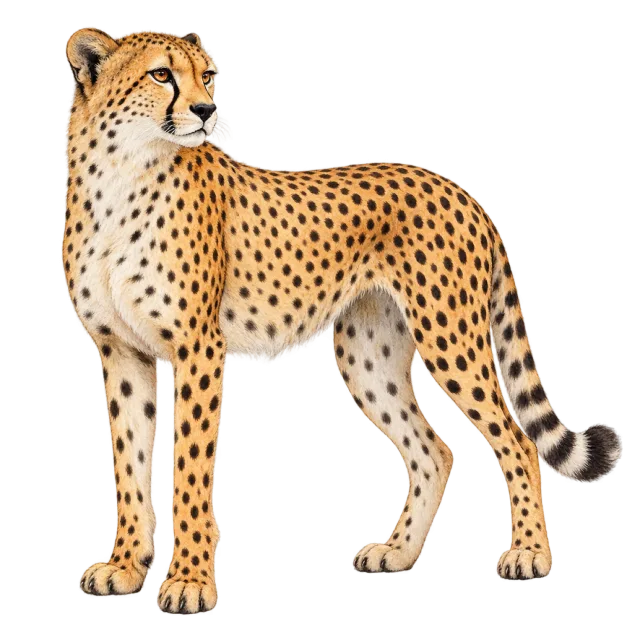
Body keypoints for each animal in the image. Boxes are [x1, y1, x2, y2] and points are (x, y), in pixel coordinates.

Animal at [63, 27, 624, 614]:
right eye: (161, 74)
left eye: (208, 75)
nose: (206, 108)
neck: (121, 174)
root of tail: (456, 187)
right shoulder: (122, 352)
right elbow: (130, 463)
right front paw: (126, 568)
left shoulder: (199, 350)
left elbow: (188, 468)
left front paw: (190, 581)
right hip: (368, 359)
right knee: (434, 450)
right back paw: (397, 553)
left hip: (450, 340)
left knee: (518, 441)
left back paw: (528, 554)